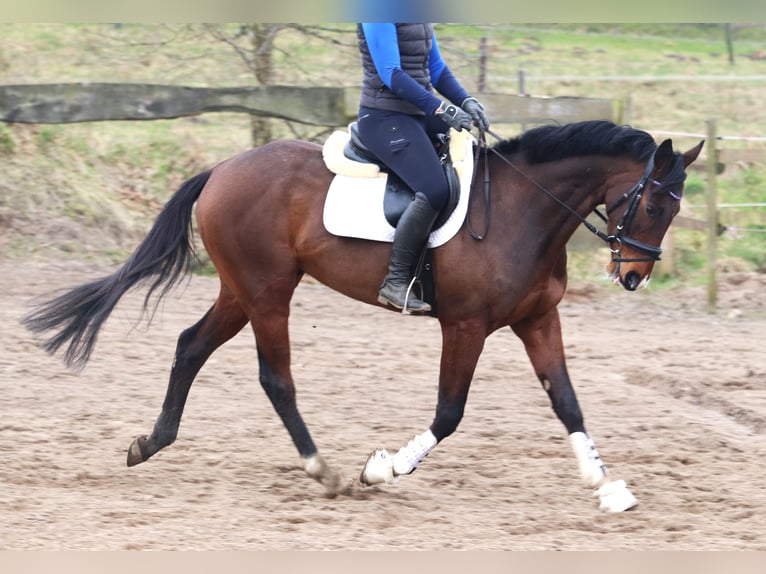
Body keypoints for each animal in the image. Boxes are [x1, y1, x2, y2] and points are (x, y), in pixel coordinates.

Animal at [25, 119, 704, 516]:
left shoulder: (538, 320)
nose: (635, 276)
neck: (522, 211)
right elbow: (449, 413)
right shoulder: (466, 327)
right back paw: (322, 472)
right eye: (653, 206)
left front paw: (608, 487)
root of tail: (222, 168)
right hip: (268, 292)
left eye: (673, 211)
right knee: (275, 378)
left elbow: (567, 402)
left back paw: (150, 443)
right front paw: (384, 468)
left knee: (191, 346)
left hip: (243, 290)